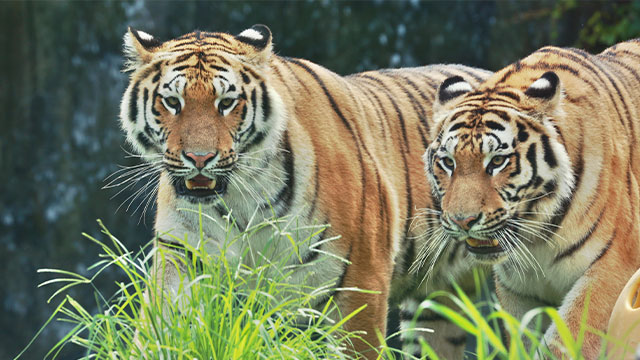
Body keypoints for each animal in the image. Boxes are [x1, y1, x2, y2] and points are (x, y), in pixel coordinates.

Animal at [119, 23, 490, 358]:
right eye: (172, 101)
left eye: (226, 102)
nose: (199, 158)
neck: (240, 200)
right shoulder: (183, 255)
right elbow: (158, 329)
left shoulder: (361, 280)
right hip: (437, 303)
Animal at [420, 39, 640, 358]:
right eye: (448, 162)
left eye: (497, 161)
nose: (463, 221)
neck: (538, 239)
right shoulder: (518, 290)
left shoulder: (611, 269)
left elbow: (564, 342)